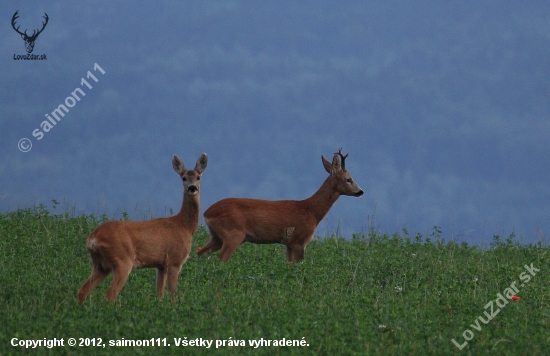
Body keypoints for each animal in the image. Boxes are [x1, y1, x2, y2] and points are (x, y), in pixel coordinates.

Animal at [80, 153, 211, 304]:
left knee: (82, 291)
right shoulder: (174, 260)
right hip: (122, 260)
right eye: (183, 177)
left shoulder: (160, 265)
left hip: (100, 265)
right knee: (110, 295)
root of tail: (93, 238)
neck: (184, 227)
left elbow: (160, 294)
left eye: (198, 177)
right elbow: (173, 293)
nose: (192, 188)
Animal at [201, 147, 364, 262]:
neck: (311, 211)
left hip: (216, 236)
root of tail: (206, 213)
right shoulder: (299, 240)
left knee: (200, 252)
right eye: (349, 179)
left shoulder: (289, 244)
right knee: (220, 258)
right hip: (233, 234)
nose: (360, 191)